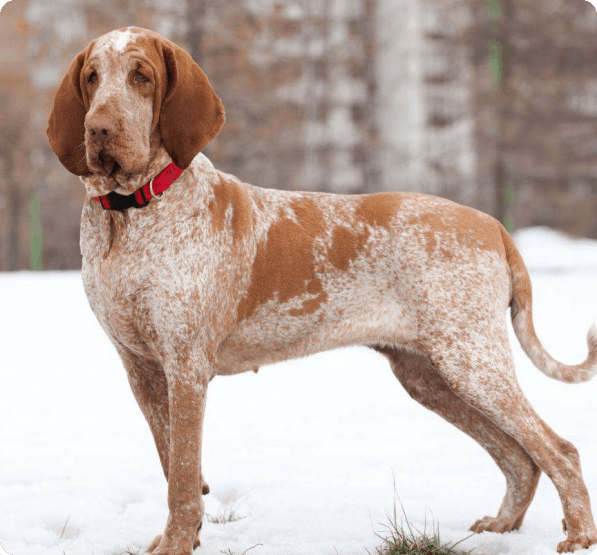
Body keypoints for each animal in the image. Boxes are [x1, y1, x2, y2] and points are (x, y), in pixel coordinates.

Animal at [46, 27, 596, 555]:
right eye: (92, 77)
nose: (99, 130)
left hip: (471, 362)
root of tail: (493, 224)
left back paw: (577, 536)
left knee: (558, 449)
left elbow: (182, 480)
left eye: (141, 76)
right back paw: (503, 526)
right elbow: (173, 467)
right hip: (430, 377)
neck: (130, 216)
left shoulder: (186, 367)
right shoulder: (142, 370)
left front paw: (177, 546)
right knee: (519, 458)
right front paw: (178, 538)